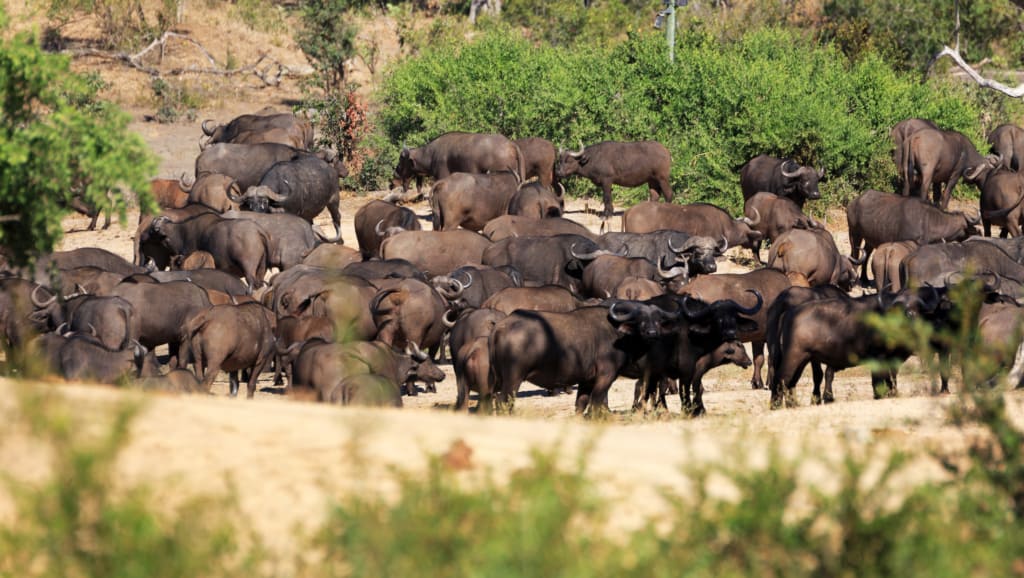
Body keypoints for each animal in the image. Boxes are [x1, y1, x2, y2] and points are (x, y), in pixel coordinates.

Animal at [843, 189, 978, 286]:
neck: (928, 220)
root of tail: (853, 203)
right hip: (854, 234)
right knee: (855, 254)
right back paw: (855, 280)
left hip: (869, 240)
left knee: (866, 255)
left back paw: (865, 279)